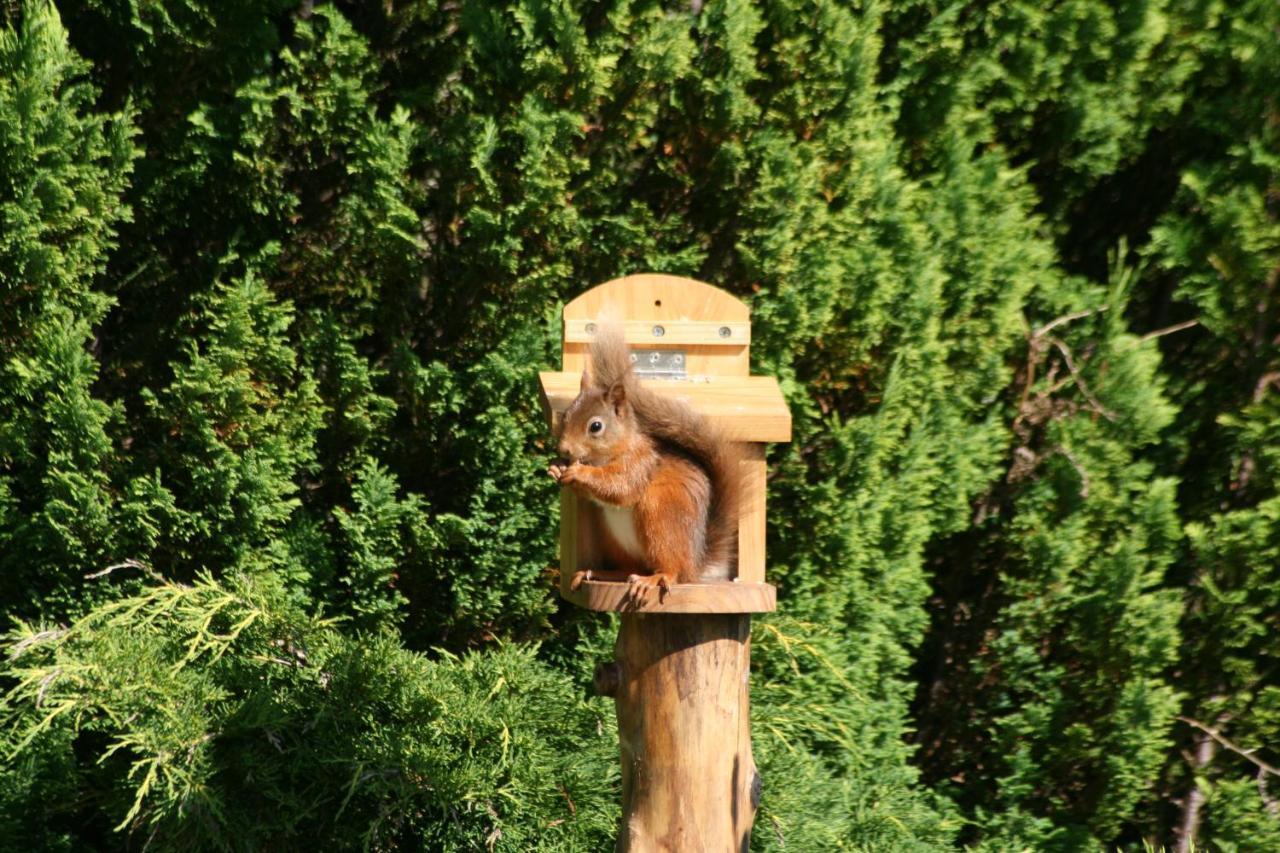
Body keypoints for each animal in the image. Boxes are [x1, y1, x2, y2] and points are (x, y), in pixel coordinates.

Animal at [547, 324, 742, 596]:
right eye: (565, 416)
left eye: (595, 426)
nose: (563, 449)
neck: (612, 452)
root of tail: (695, 564)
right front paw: (556, 469)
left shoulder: (640, 462)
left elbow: (621, 486)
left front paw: (580, 473)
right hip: (614, 539)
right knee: (629, 567)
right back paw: (598, 572)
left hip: (661, 518)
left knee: (672, 570)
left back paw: (655, 578)